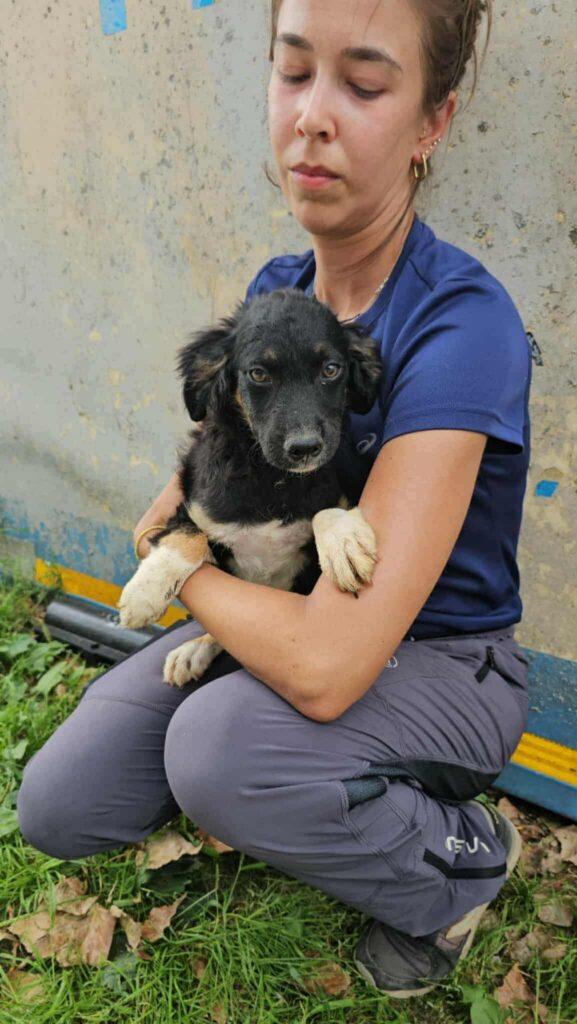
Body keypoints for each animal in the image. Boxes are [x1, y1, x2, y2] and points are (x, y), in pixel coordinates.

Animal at [118, 287, 383, 687]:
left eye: (331, 369)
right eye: (258, 374)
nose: (305, 448)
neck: (272, 478)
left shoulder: (329, 492)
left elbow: (325, 508)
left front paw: (345, 545)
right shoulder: (189, 506)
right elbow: (187, 535)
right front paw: (143, 594)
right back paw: (193, 649)